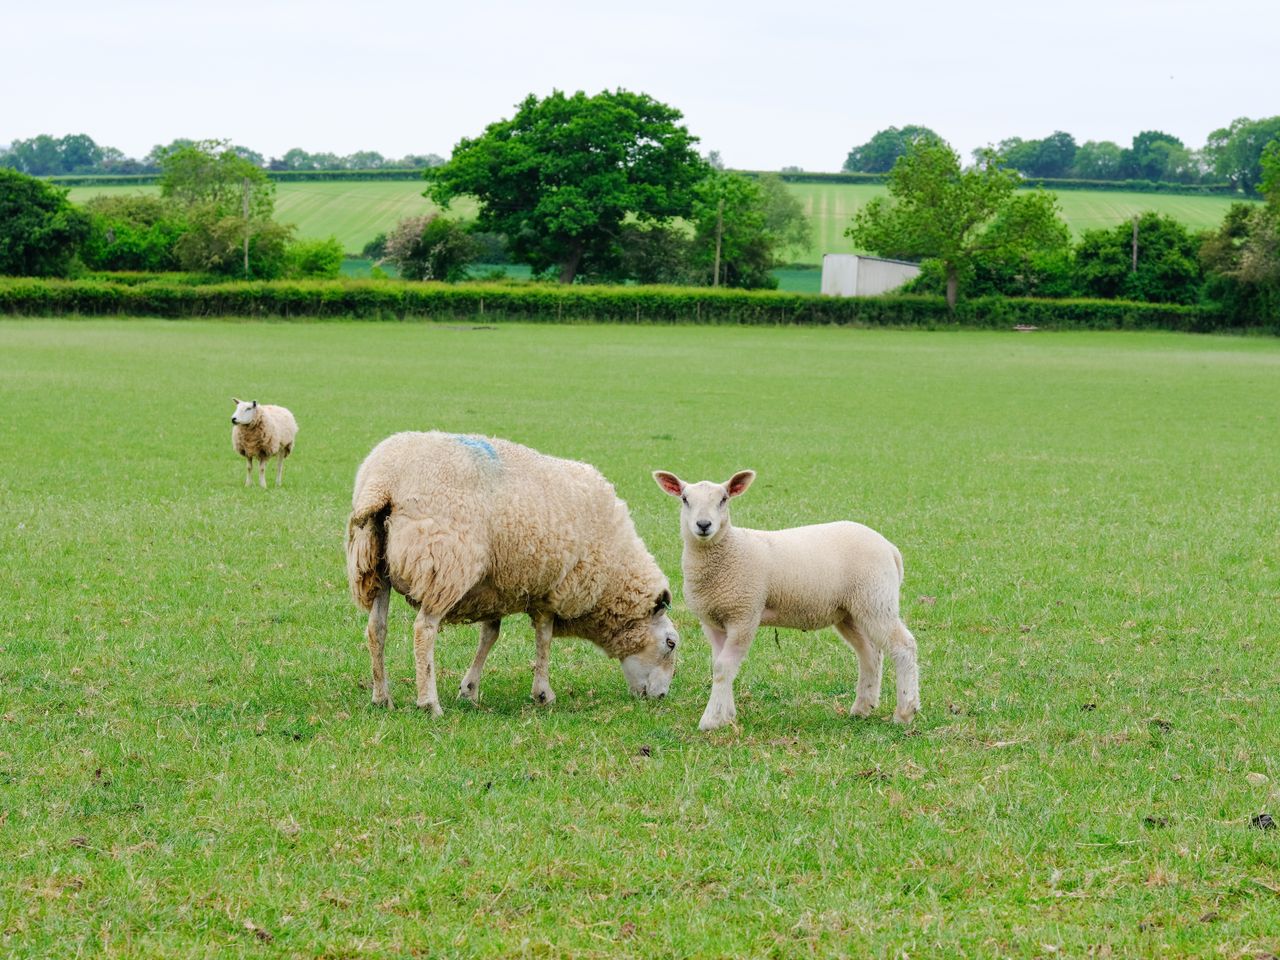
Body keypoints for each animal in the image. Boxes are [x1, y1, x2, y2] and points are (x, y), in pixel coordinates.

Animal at [346, 431, 680, 715]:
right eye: (671, 643)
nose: (662, 696)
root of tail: (384, 482)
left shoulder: (493, 587)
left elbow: (490, 635)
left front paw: (469, 689)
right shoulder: (552, 590)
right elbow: (544, 639)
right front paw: (543, 693)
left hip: (373, 563)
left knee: (376, 628)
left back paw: (381, 697)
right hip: (447, 563)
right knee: (424, 630)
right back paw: (429, 703)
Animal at [653, 469, 919, 731]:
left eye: (724, 499)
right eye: (685, 499)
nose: (704, 525)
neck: (729, 551)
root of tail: (890, 548)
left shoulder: (744, 615)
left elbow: (722, 668)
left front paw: (711, 720)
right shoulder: (713, 621)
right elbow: (720, 666)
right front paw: (726, 715)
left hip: (876, 599)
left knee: (904, 646)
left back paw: (905, 711)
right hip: (850, 611)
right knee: (869, 653)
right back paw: (862, 708)